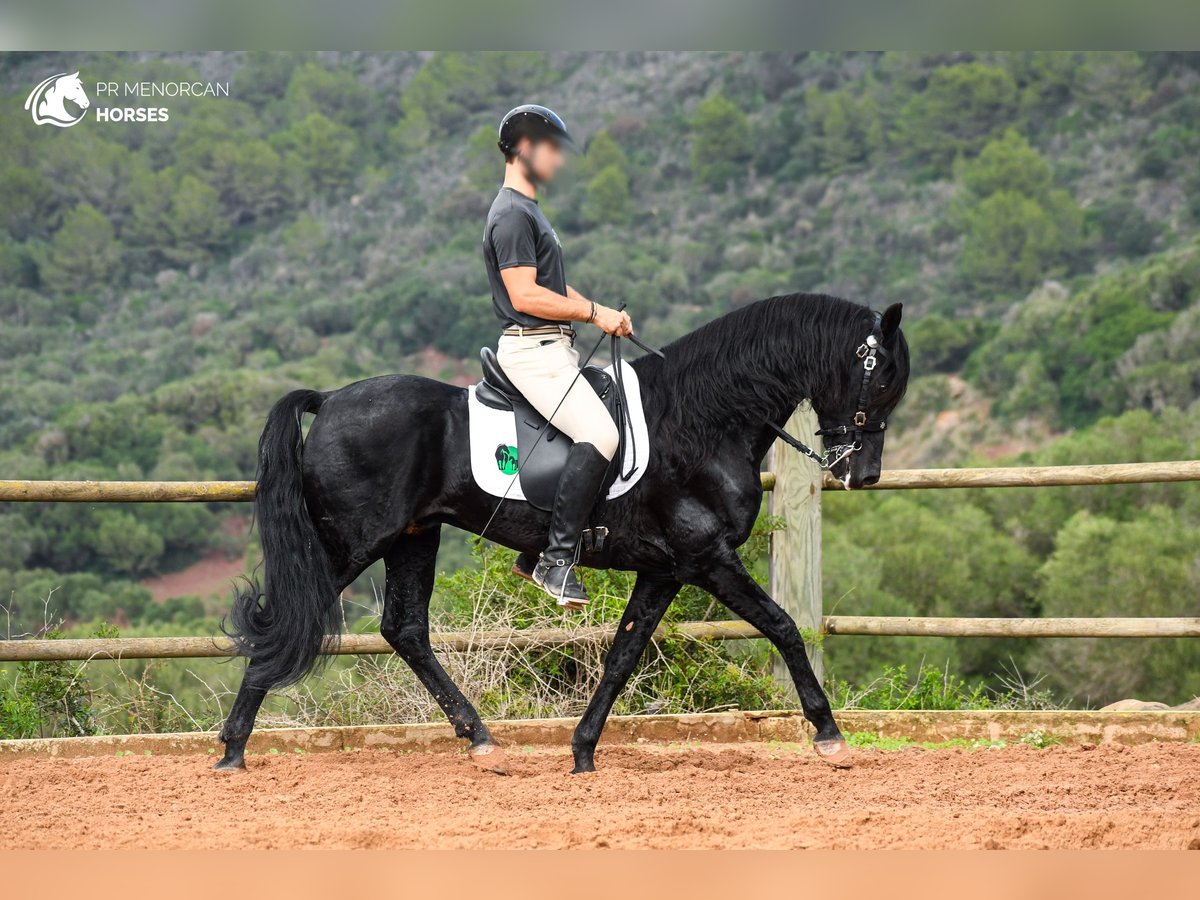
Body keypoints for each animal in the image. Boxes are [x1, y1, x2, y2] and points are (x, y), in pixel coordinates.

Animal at [218, 296, 907, 777]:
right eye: (879, 380)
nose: (864, 474)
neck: (701, 419)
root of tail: (331, 399)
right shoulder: (708, 558)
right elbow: (784, 626)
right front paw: (829, 736)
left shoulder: (666, 568)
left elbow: (623, 655)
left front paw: (582, 750)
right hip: (353, 543)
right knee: (292, 620)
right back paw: (231, 750)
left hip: (413, 536)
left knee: (406, 631)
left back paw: (483, 743)